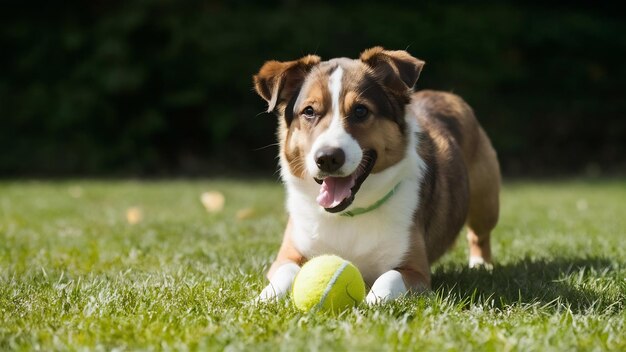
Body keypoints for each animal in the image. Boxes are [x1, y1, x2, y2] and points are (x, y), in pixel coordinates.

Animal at [251, 47, 500, 306]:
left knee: (480, 234)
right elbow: (284, 271)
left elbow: (389, 277)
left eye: (360, 110)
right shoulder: (287, 254)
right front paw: (265, 298)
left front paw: (372, 302)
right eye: (309, 111)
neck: (348, 215)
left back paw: (480, 265)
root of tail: (444, 94)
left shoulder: (416, 271)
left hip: (486, 202)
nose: (328, 158)